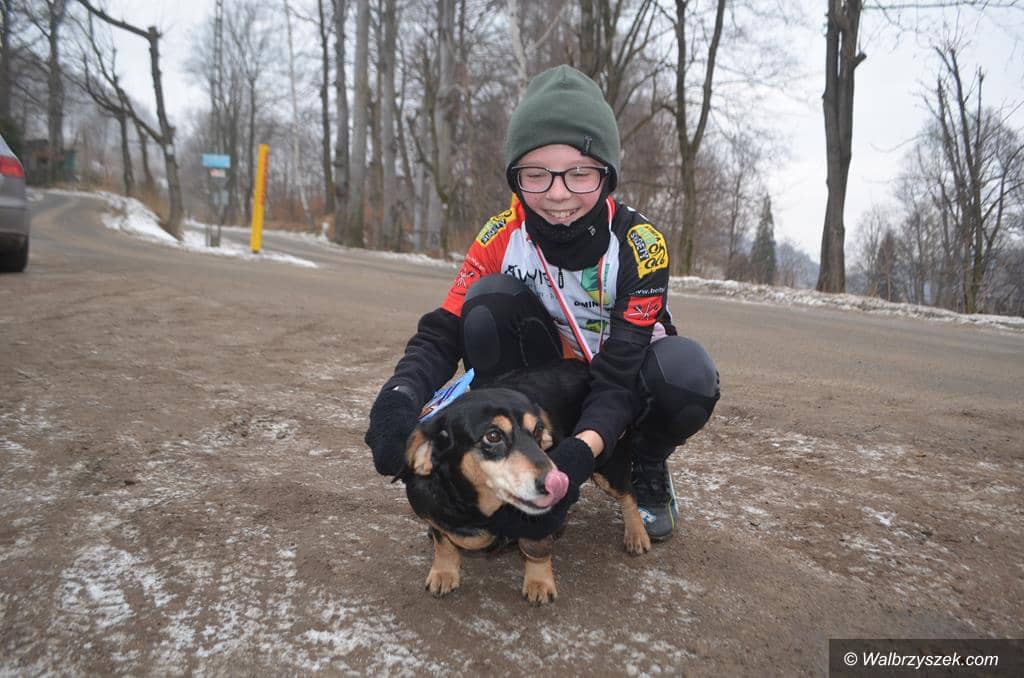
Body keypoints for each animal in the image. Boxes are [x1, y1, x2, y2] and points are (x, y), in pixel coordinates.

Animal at [401, 359, 651, 604]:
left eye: (539, 429)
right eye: (493, 435)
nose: (558, 482)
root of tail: (590, 367)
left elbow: (536, 547)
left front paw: (538, 582)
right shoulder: (434, 513)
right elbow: (442, 542)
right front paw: (444, 573)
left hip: (609, 466)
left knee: (629, 494)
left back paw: (636, 534)